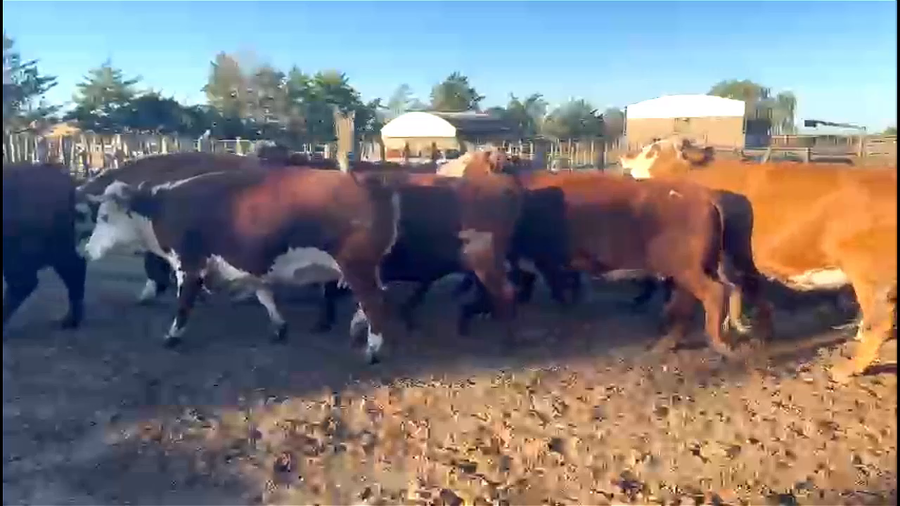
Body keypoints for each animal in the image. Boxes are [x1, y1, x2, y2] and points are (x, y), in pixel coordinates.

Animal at [82, 167, 400, 363]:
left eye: (105, 217)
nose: (85, 251)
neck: (163, 209)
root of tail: (371, 183)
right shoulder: (251, 267)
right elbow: (265, 297)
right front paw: (279, 327)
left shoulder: (190, 265)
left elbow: (184, 305)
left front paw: (172, 336)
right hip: (364, 269)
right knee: (373, 300)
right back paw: (358, 327)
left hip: (357, 267)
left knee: (375, 303)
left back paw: (372, 349)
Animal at [620, 137, 897, 382]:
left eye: (654, 150)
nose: (625, 156)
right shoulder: (741, 263)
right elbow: (748, 294)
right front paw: (751, 331)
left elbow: (687, 303)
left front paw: (669, 341)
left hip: (867, 275)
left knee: (880, 322)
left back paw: (848, 369)